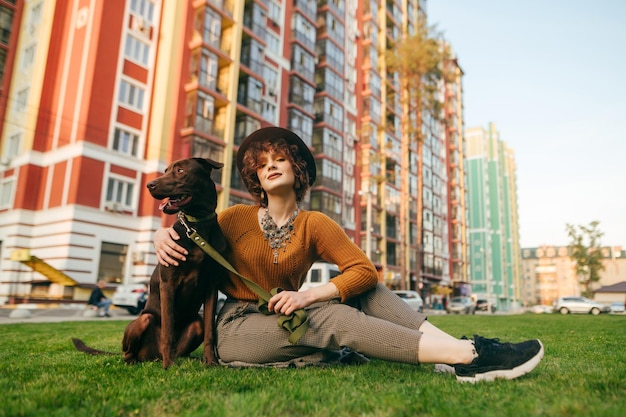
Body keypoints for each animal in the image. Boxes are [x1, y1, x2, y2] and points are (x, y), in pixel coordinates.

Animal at [73, 157, 227, 368]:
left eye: (180, 170)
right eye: (165, 170)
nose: (150, 185)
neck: (198, 225)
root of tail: (153, 356)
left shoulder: (211, 287)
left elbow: (210, 330)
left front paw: (211, 361)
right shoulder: (168, 283)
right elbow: (168, 330)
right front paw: (170, 367)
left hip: (197, 323)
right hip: (143, 320)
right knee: (130, 352)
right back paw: (145, 361)